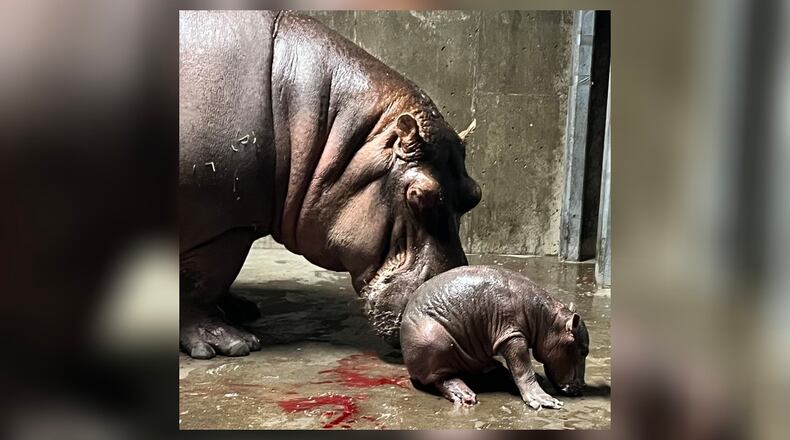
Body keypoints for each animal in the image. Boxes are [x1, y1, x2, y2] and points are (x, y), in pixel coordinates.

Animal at [179, 11, 481, 358]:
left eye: (475, 194)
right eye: (419, 195)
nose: (463, 314)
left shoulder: (238, 222)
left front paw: (239, 308)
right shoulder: (223, 226)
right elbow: (200, 283)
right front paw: (230, 344)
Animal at [400, 266, 589, 408]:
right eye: (583, 351)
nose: (582, 387)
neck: (548, 321)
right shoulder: (511, 336)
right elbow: (523, 368)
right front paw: (544, 400)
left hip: (474, 356)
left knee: (491, 368)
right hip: (435, 342)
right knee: (442, 378)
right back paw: (465, 396)